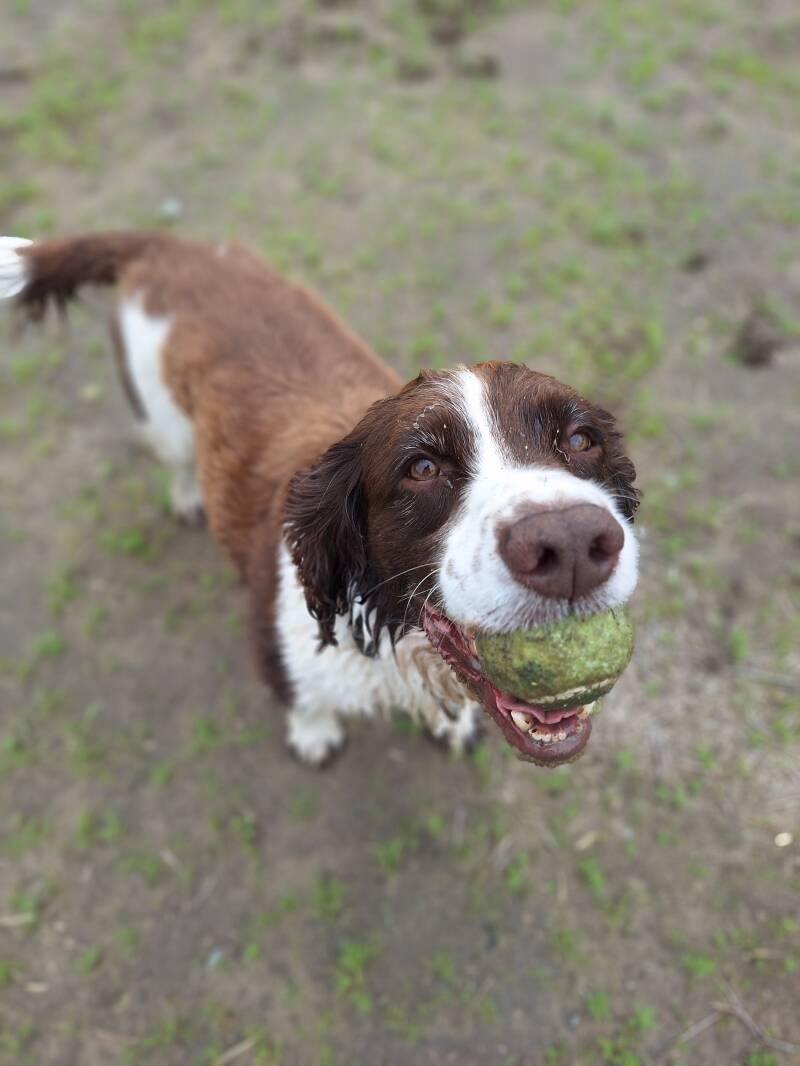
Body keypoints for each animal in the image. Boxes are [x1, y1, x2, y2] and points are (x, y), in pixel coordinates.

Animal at [0, 232, 639, 767]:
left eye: (581, 440)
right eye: (421, 467)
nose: (572, 544)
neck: (381, 623)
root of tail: (166, 245)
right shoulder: (275, 647)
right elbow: (305, 702)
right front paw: (314, 735)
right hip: (160, 415)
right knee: (175, 459)